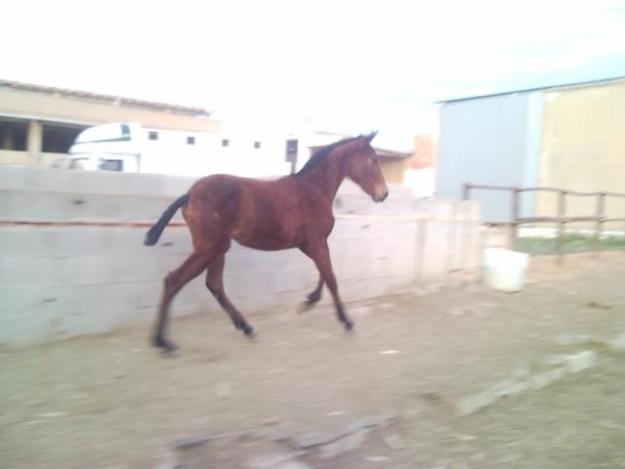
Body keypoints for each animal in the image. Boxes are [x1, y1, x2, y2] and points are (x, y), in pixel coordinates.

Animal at [146, 132, 388, 352]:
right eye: (374, 159)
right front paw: (346, 321)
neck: (313, 188)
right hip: (210, 248)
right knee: (175, 280)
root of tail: (189, 195)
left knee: (214, 285)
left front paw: (309, 300)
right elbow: (331, 278)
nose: (383, 194)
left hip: (217, 248)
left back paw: (246, 327)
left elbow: (324, 273)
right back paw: (163, 341)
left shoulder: (309, 244)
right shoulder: (317, 241)